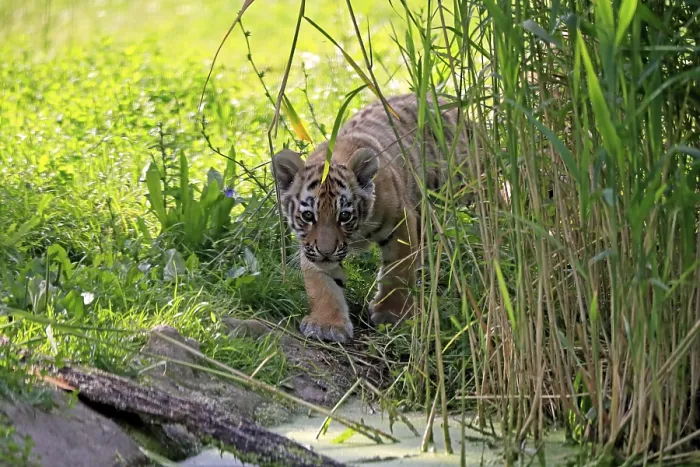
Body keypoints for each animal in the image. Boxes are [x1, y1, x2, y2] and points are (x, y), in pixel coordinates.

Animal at [272, 93, 470, 343]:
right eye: (308, 216)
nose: (326, 252)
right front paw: (327, 325)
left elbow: (397, 271)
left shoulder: (401, 221)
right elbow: (322, 284)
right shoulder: (309, 246)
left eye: (344, 216)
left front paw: (392, 315)